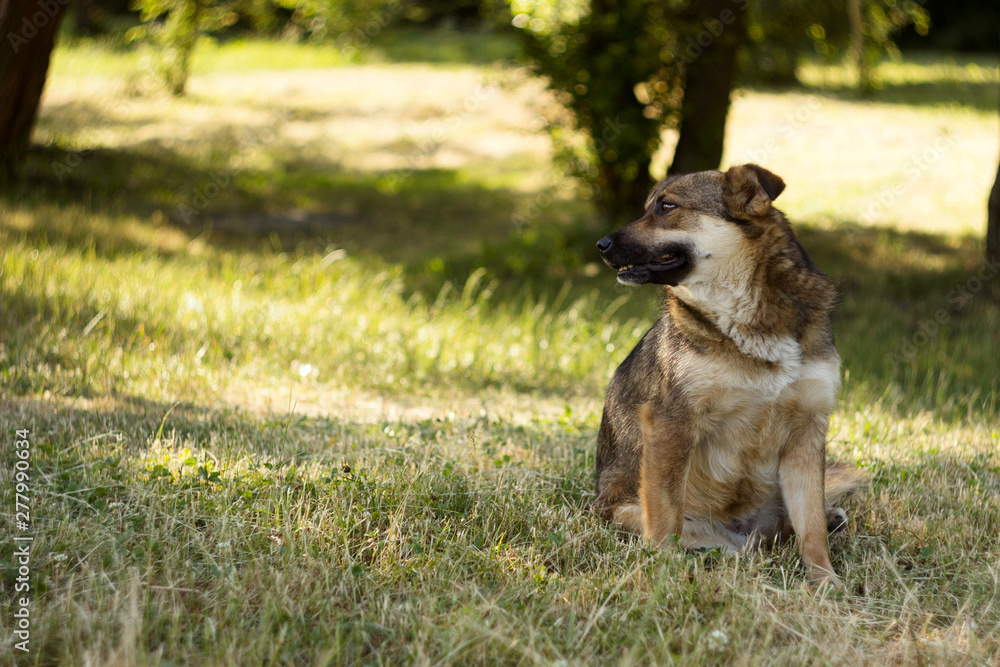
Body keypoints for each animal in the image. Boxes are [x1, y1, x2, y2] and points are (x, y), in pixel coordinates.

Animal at [592, 164, 868, 588]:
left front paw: (825, 581)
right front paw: (661, 570)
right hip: (634, 514)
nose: (600, 245)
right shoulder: (671, 424)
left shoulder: (807, 431)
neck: (749, 317)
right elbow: (665, 516)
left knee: (796, 524)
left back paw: (831, 519)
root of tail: (746, 533)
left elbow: (811, 527)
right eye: (649, 207)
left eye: (666, 207)